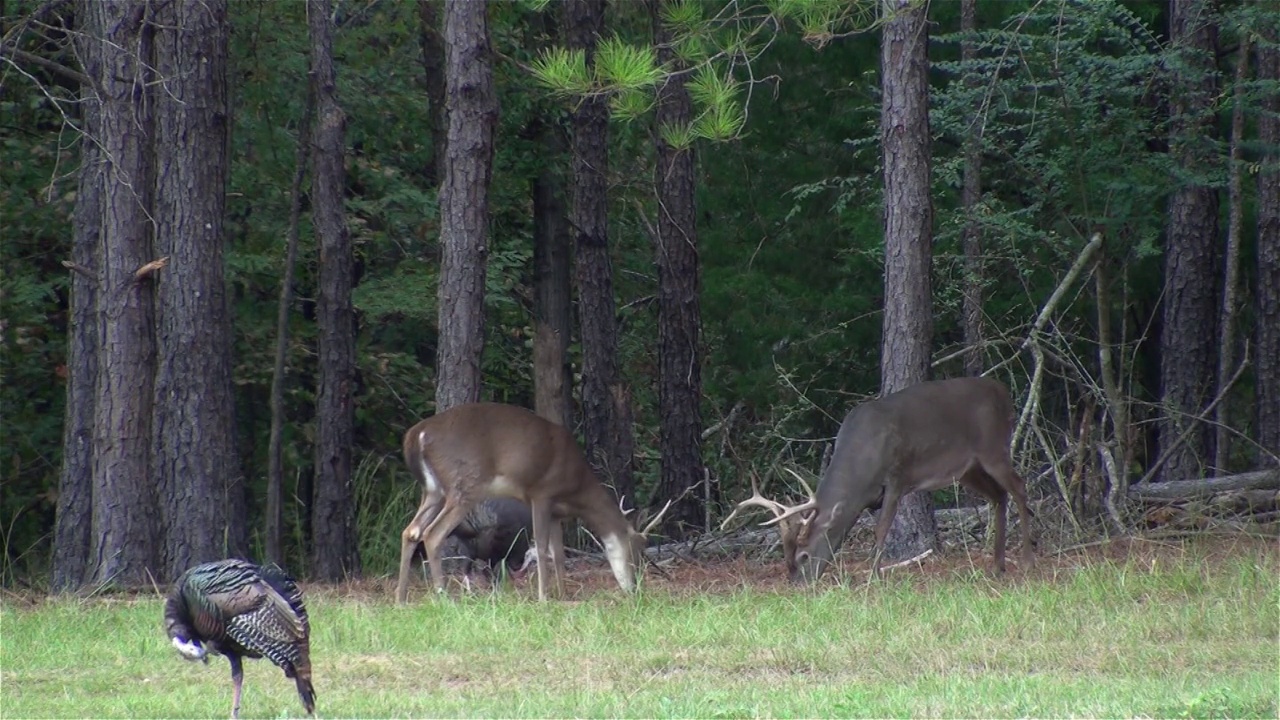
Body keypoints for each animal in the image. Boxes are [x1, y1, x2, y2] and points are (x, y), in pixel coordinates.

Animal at [394, 404, 670, 599]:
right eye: (636, 550)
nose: (635, 588)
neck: (576, 488)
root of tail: (415, 435)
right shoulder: (541, 492)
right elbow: (543, 548)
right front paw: (543, 598)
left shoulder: (558, 512)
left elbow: (558, 554)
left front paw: (562, 595)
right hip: (464, 483)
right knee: (433, 534)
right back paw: (443, 597)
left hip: (433, 491)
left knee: (411, 530)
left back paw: (401, 599)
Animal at [727, 376, 1034, 584]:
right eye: (786, 559)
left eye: (803, 556)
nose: (798, 584)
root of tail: (1004, 393)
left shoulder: (896, 476)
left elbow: (881, 529)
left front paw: (873, 576)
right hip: (968, 469)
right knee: (999, 495)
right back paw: (997, 565)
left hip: (993, 447)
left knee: (1019, 487)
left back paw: (1027, 559)